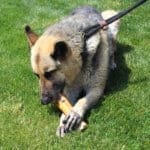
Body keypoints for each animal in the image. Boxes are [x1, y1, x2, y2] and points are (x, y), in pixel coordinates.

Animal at [24, 6, 119, 137]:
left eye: (49, 73)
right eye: (37, 75)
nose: (43, 101)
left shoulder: (96, 89)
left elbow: (82, 100)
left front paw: (75, 113)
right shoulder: (70, 90)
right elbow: (68, 105)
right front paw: (63, 120)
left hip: (113, 27)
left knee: (113, 50)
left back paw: (112, 62)